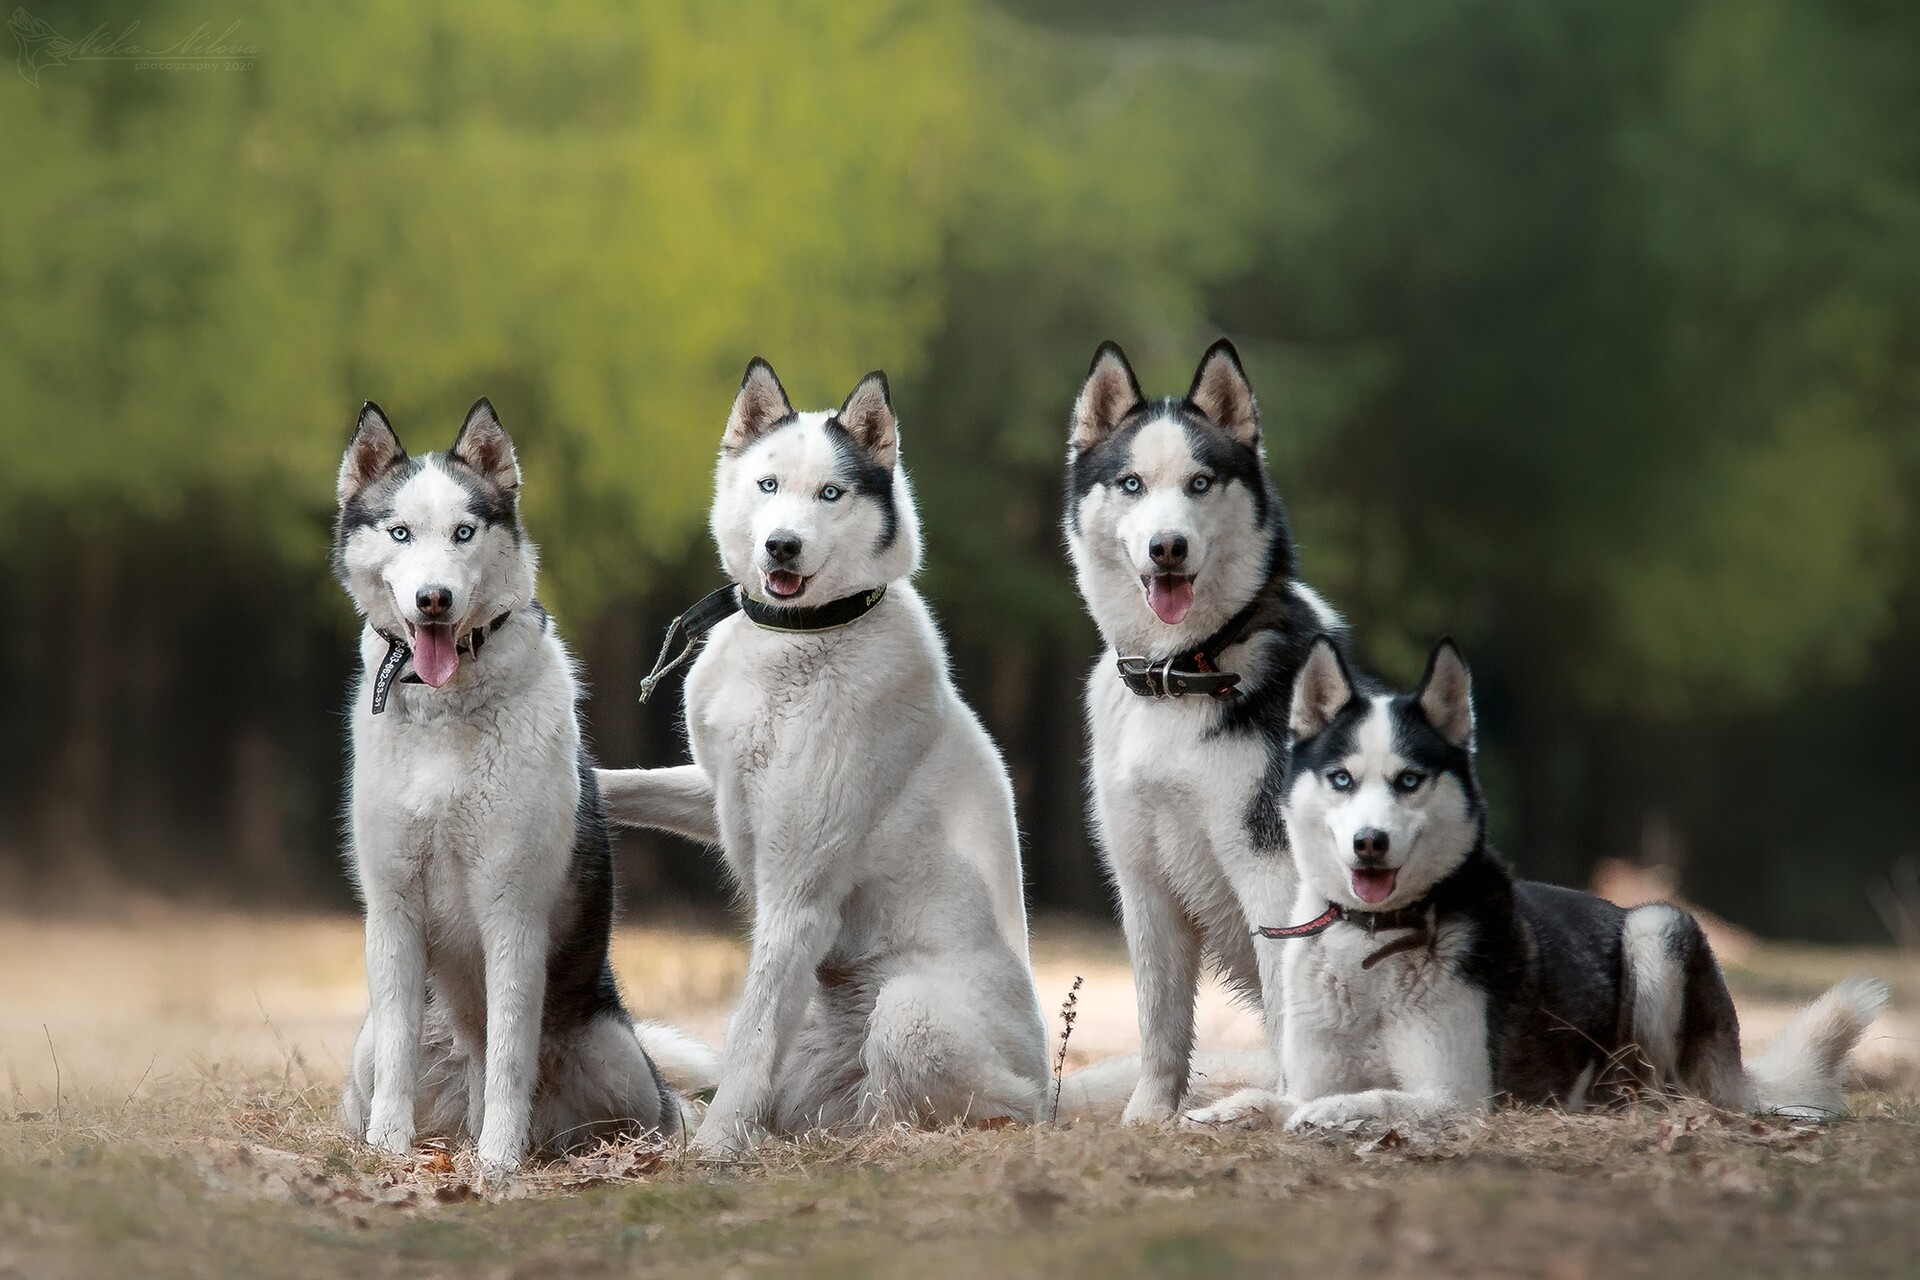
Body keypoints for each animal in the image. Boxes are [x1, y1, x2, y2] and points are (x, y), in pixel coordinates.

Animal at [336, 401, 714, 1174]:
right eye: (399, 532)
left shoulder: (512, 909)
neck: (446, 714)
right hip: (372, 1046)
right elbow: (398, 1062)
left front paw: (499, 1161)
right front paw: (387, 1150)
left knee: (657, 1111)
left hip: (618, 1058)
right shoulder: (391, 908)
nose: (434, 599)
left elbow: (512, 1053)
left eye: (464, 532)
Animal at [599, 355, 1052, 1159]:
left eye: (831, 494)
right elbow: (632, 785)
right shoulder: (720, 793)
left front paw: (714, 1151)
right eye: (768, 485)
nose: (782, 545)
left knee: (995, 1105)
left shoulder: (797, 893)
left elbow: (749, 1034)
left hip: (912, 1015)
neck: (797, 636)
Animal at [1059, 335, 1344, 1128]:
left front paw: (1279, 1108)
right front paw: (1148, 1116)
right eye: (1130, 484)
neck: (1178, 672)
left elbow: (1283, 1003)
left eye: (1200, 483)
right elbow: (1160, 1021)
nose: (1168, 547)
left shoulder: (1269, 872)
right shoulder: (1141, 879)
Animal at [1267, 637, 1881, 1128]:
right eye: (1341, 780)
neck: (1373, 935)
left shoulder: (1458, 1095)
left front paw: (1324, 1114)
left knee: (1662, 1087)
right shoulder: (1312, 1071)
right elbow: (1274, 1096)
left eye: (1409, 781)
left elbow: (1369, 1097)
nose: (1369, 842)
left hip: (1656, 926)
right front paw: (1256, 1108)